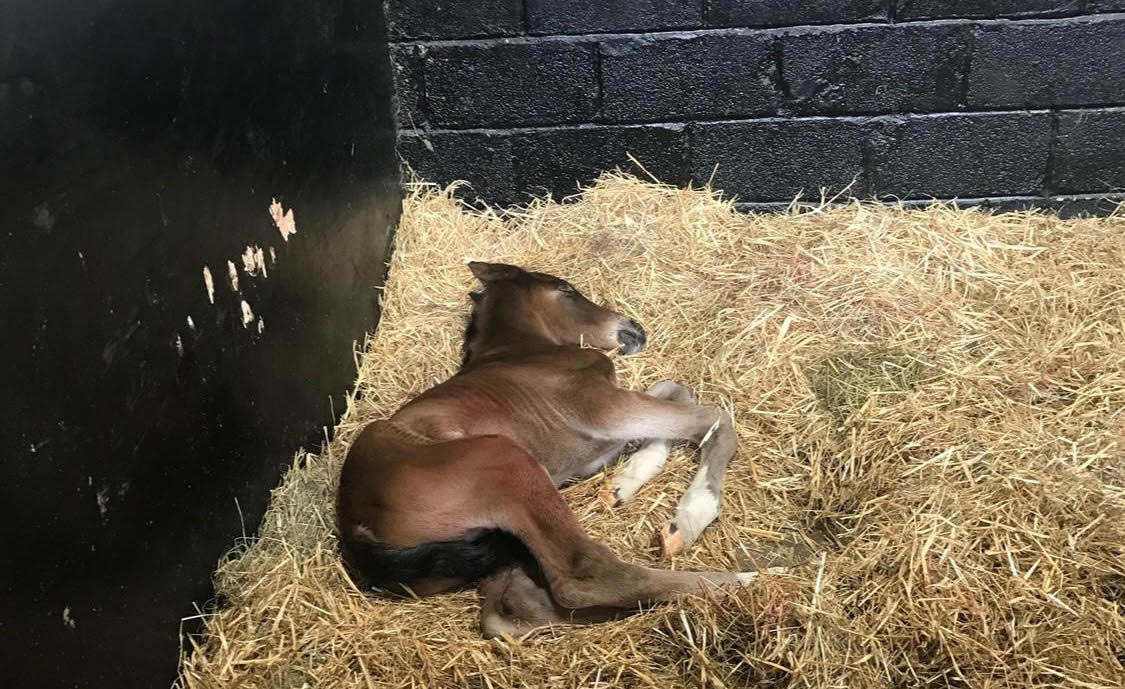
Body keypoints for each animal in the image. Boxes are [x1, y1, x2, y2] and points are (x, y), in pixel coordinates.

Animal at [337, 261, 781, 637]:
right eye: (566, 289)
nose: (633, 327)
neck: (525, 351)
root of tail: (356, 531)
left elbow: (675, 391)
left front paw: (621, 485)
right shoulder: (601, 407)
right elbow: (712, 417)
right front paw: (688, 518)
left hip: (505, 535)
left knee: (507, 614)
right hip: (506, 461)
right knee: (580, 577)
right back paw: (745, 580)